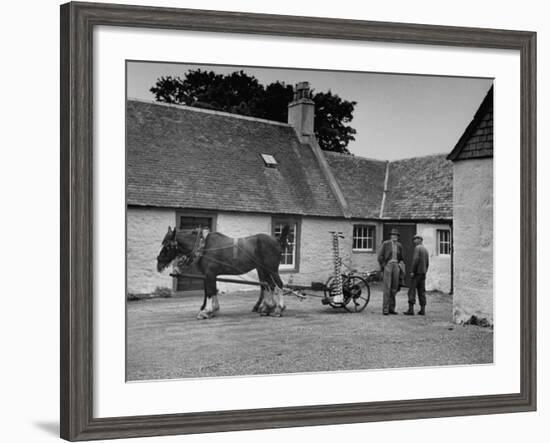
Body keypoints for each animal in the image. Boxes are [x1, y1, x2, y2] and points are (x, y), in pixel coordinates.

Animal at [157, 225, 292, 320]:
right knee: (270, 285)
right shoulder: (210, 275)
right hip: (263, 269)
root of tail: (276, 240)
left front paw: (206, 311)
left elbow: (210, 292)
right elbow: (212, 291)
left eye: (167, 245)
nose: (159, 261)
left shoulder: (210, 274)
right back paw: (268, 308)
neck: (204, 247)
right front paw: (213, 310)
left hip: (271, 269)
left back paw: (278, 310)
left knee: (278, 285)